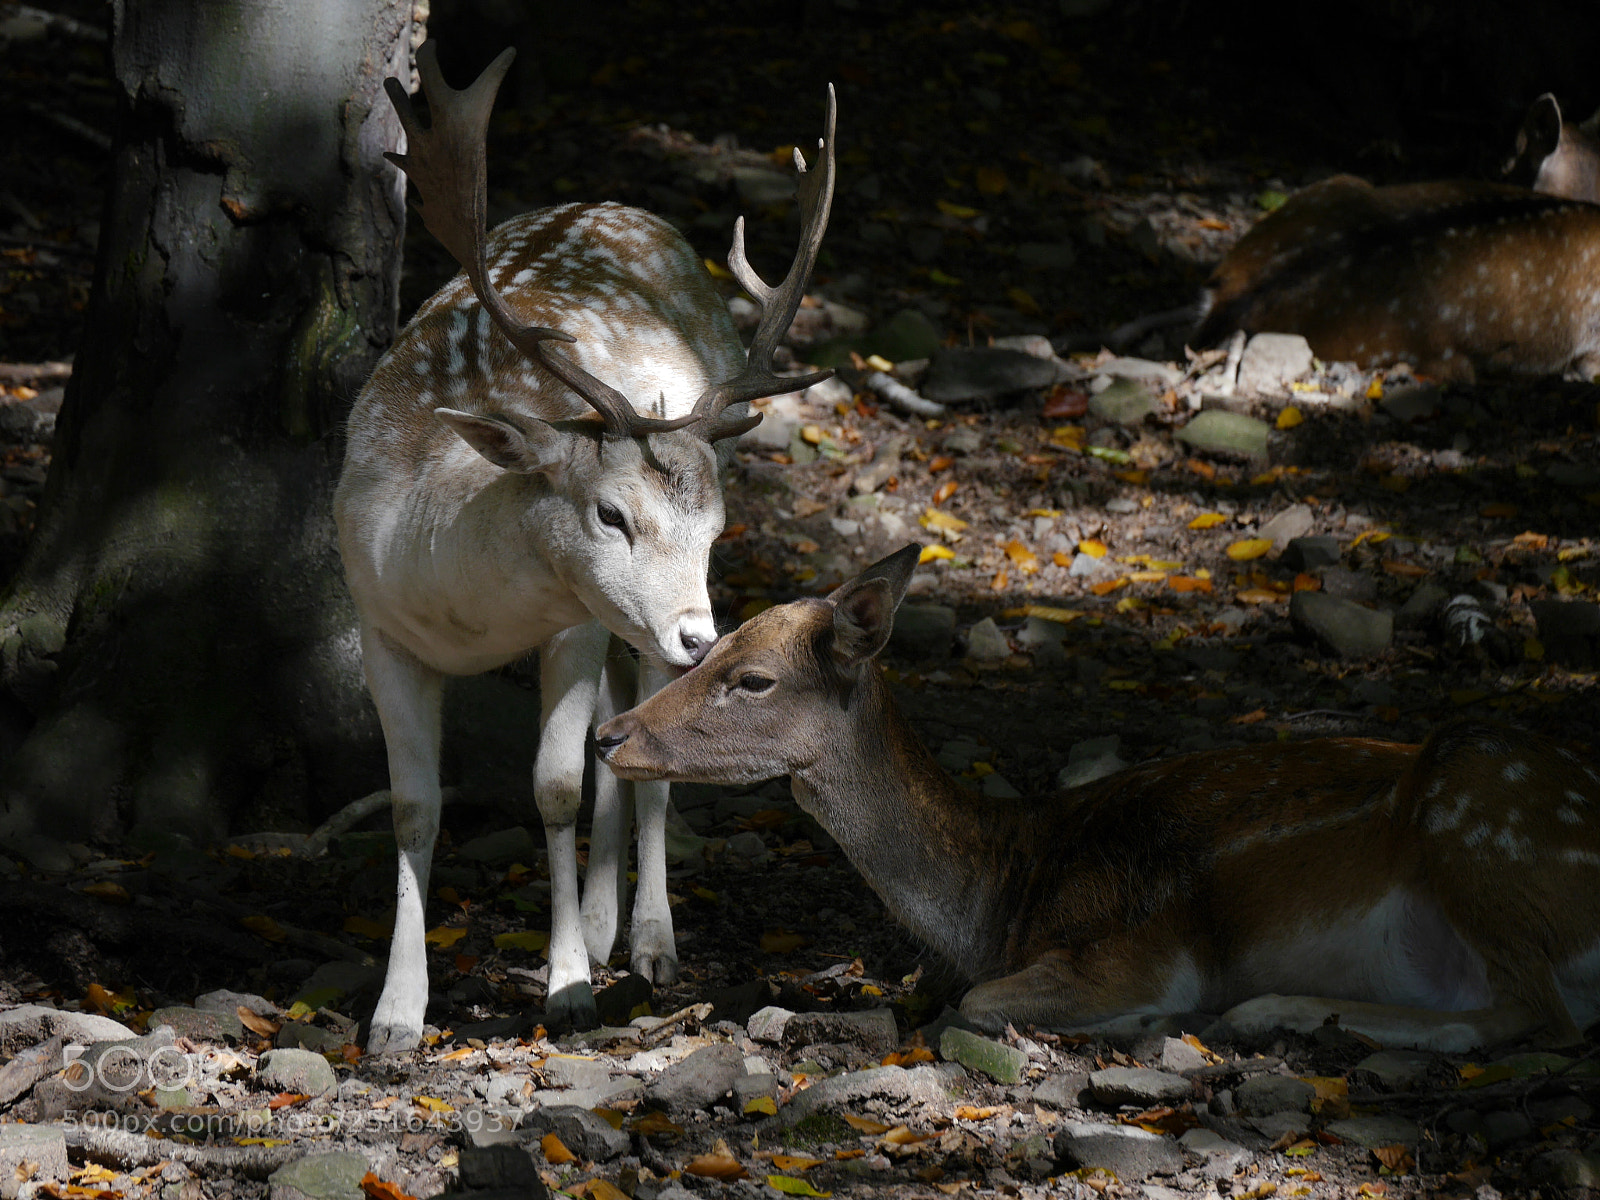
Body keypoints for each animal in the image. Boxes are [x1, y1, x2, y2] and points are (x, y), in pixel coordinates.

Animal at [333, 43, 835, 1052]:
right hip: (618, 619)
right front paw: (396, 1015)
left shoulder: (568, 621)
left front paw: (564, 988)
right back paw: (606, 925)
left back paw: (646, 943)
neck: (465, 613)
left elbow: (556, 787)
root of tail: (630, 208)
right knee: (619, 722)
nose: (702, 638)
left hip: (622, 623)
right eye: (610, 515)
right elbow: (413, 807)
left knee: (641, 744)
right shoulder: (379, 623)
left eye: (716, 528)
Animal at [596, 545, 1600, 1052]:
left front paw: (1155, 1017)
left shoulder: (1144, 945)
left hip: (1480, 810)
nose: (610, 735)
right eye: (714, 643)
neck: (1001, 898)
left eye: (753, 679)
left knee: (1538, 1016)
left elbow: (979, 1003)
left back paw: (1265, 1014)